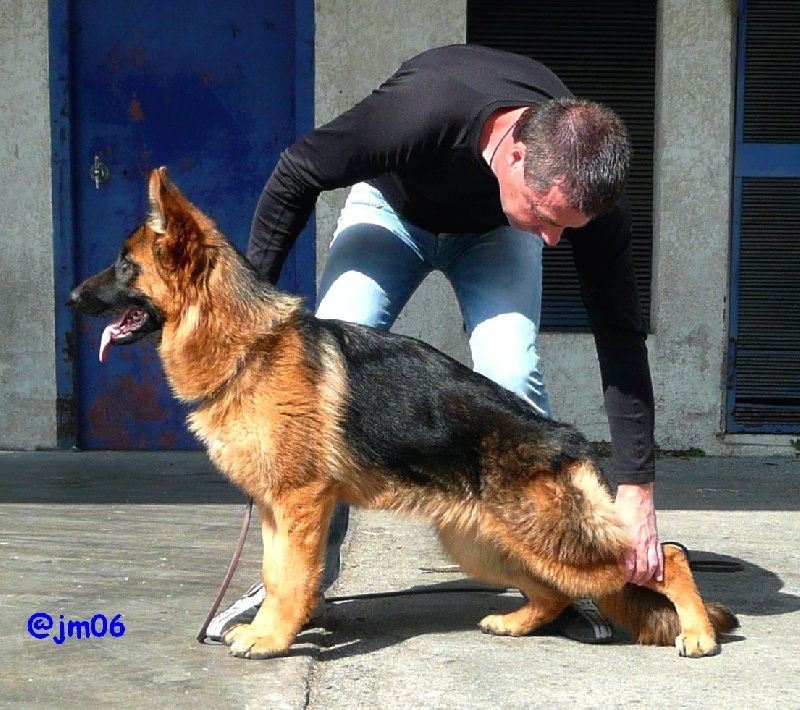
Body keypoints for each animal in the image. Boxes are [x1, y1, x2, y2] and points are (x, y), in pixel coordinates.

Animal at [70, 170, 736, 660]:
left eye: (125, 266)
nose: (73, 297)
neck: (247, 345)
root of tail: (566, 438)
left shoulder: (301, 504)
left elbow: (292, 577)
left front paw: (273, 637)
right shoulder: (275, 510)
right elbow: (277, 572)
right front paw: (270, 627)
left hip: (552, 536)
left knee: (666, 555)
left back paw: (698, 631)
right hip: (484, 542)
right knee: (553, 589)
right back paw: (519, 622)